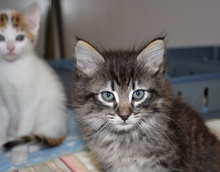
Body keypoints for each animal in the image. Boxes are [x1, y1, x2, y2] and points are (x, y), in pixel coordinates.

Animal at [0, 2, 67, 164]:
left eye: (19, 37)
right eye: (1, 37)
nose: (10, 48)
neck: (9, 68)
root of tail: (63, 130)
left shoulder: (28, 100)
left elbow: (25, 128)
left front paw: (18, 152)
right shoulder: (1, 101)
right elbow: (2, 122)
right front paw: (1, 142)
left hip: (48, 114)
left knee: (40, 135)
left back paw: (33, 145)